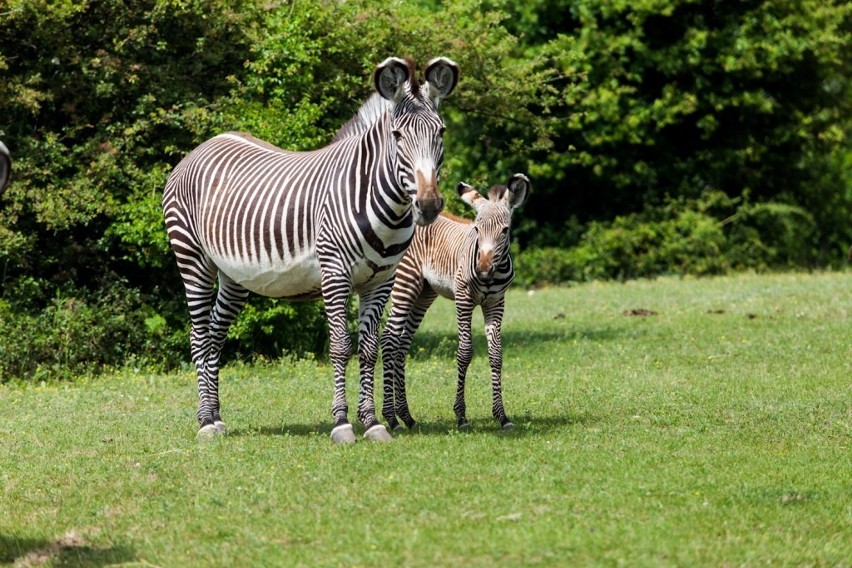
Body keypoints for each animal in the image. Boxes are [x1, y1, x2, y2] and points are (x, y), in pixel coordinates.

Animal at [165, 56, 460, 444]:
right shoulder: (335, 274)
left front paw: (373, 422)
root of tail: (204, 145)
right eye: (397, 136)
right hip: (193, 258)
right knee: (199, 336)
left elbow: (368, 349)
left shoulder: (380, 281)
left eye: (441, 132)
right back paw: (203, 422)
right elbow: (340, 346)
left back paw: (215, 416)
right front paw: (342, 423)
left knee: (214, 335)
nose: (428, 205)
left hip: (234, 276)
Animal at [382, 173, 528, 430]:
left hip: (424, 293)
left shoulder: (496, 303)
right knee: (389, 340)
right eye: (477, 229)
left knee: (401, 344)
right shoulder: (463, 299)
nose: (483, 270)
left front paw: (502, 416)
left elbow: (496, 354)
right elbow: (465, 352)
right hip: (405, 283)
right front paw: (461, 416)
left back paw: (406, 416)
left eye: (504, 231)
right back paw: (391, 417)